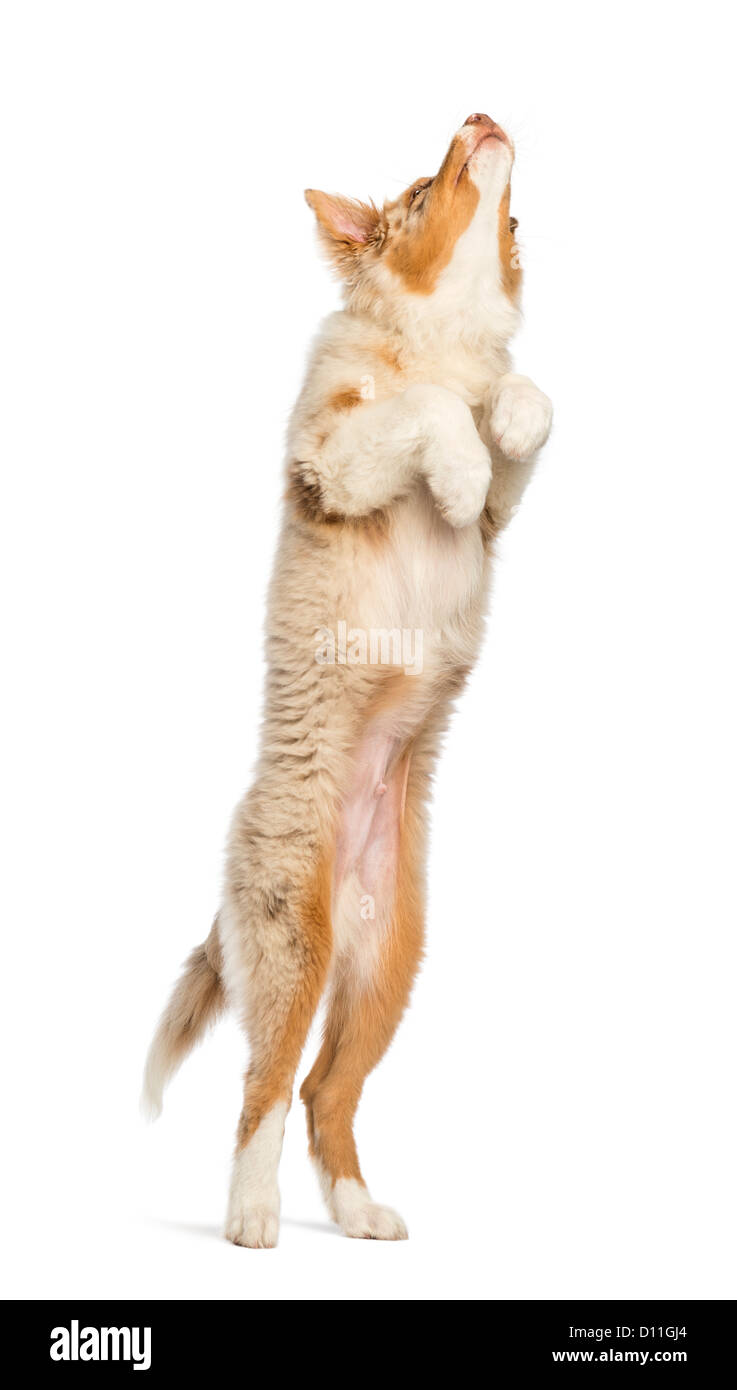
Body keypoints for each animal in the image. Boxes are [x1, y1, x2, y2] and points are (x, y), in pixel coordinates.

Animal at [141, 113, 550, 1251]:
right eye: (420, 186)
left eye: (511, 218)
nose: (483, 117)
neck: (439, 332)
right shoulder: (331, 453)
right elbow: (421, 409)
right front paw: (455, 454)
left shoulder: (503, 511)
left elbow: (523, 408)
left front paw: (508, 418)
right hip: (293, 935)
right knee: (265, 1085)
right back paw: (249, 1213)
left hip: (388, 965)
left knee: (328, 1089)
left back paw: (359, 1209)